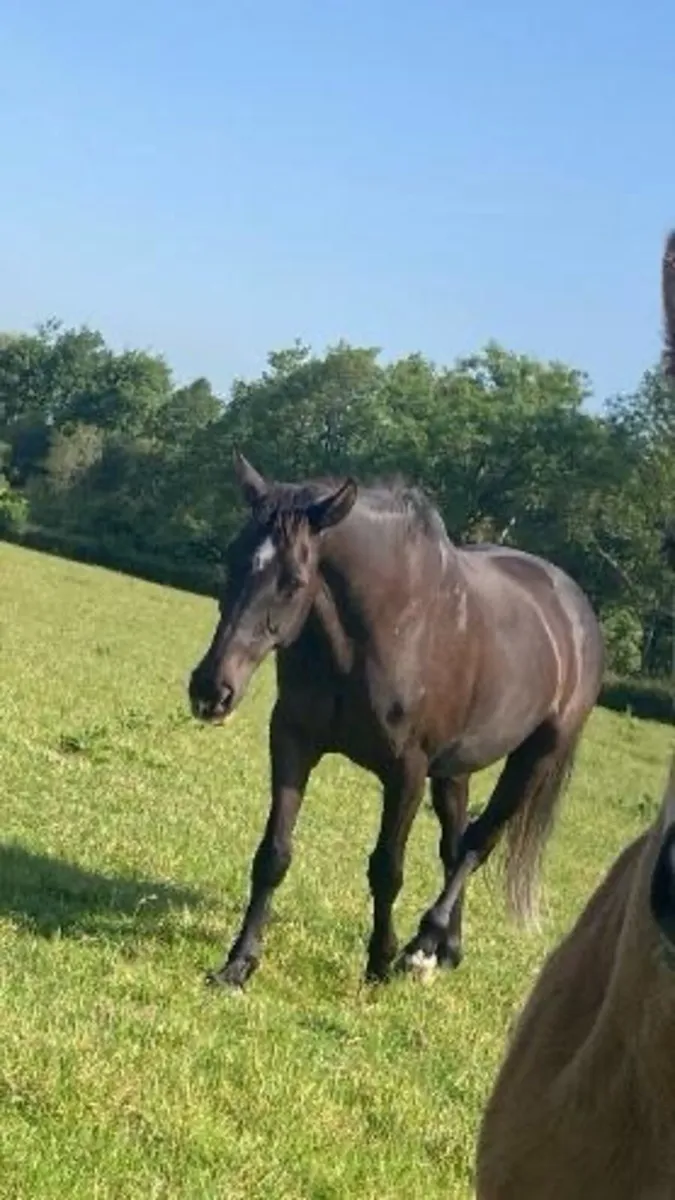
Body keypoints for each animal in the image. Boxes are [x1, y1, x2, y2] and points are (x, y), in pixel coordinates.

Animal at [188, 455, 604, 988]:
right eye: (231, 558)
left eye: (294, 581)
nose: (210, 690)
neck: (384, 628)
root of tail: (577, 611)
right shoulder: (293, 741)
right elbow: (273, 854)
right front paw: (238, 964)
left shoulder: (406, 770)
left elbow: (387, 868)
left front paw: (380, 961)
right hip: (455, 768)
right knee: (455, 843)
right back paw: (446, 949)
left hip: (536, 758)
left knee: (479, 843)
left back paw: (422, 944)